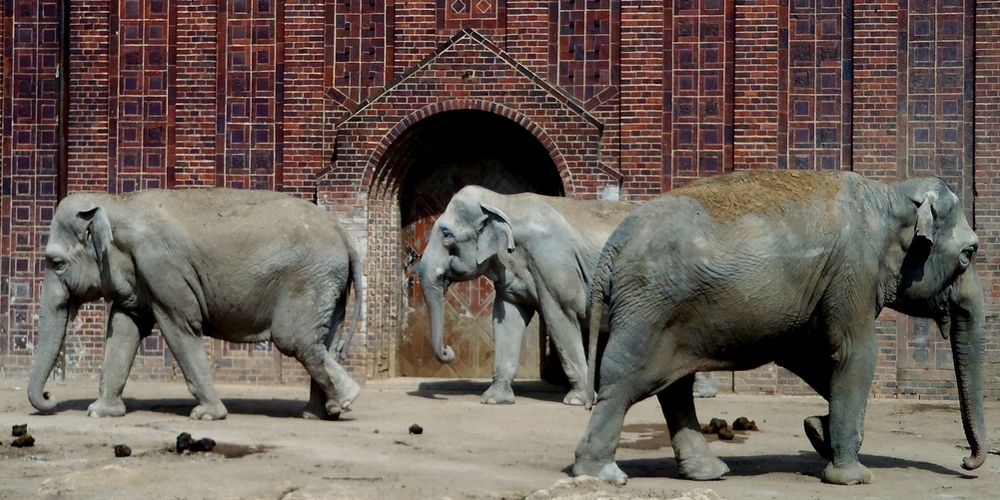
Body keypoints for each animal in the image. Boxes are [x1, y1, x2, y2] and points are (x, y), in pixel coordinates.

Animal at [28, 189, 368, 420]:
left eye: (56, 263)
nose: (49, 395)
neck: (117, 203)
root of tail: (343, 234)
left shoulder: (161, 267)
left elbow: (180, 326)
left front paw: (207, 416)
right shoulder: (138, 276)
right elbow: (125, 328)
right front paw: (100, 412)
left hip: (309, 279)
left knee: (295, 340)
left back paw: (347, 399)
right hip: (330, 284)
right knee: (322, 340)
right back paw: (322, 412)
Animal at [576, 171, 988, 484]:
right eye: (968, 254)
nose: (966, 463)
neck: (889, 194)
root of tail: (612, 246)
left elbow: (815, 357)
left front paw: (817, 431)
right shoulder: (853, 271)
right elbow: (853, 355)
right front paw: (851, 476)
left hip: (667, 314)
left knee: (674, 389)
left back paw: (709, 472)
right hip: (648, 307)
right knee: (622, 382)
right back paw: (601, 475)